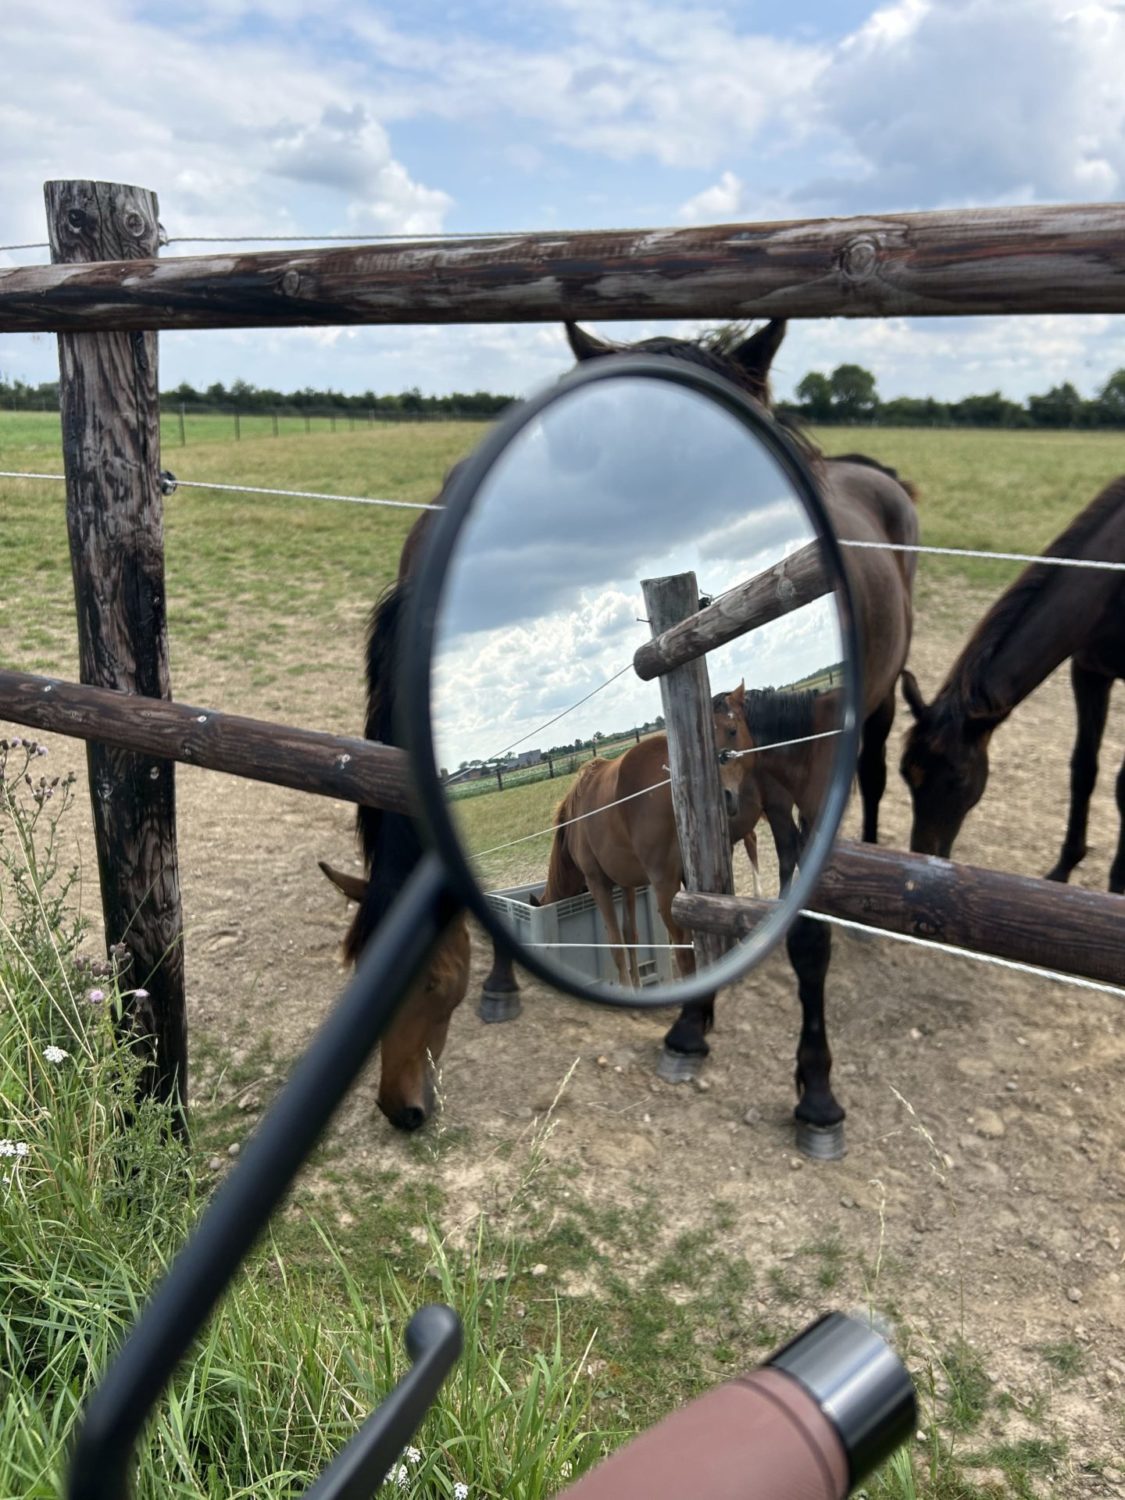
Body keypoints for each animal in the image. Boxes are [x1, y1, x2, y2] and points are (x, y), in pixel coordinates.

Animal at [534, 681, 759, 984]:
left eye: (733, 731)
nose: (725, 797)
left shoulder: (598, 882)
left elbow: (616, 945)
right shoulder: (626, 883)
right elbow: (631, 937)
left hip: (665, 885)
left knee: (684, 950)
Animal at [567, 322, 918, 1128]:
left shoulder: (810, 803)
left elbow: (806, 926)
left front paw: (816, 1089)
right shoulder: (771, 804)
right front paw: (691, 1024)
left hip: (884, 699)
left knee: (876, 770)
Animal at [906, 477, 1125, 888]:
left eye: (959, 779)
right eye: (907, 774)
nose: (924, 856)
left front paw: (1117, 883)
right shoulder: (1089, 673)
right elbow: (1083, 769)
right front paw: (1062, 868)